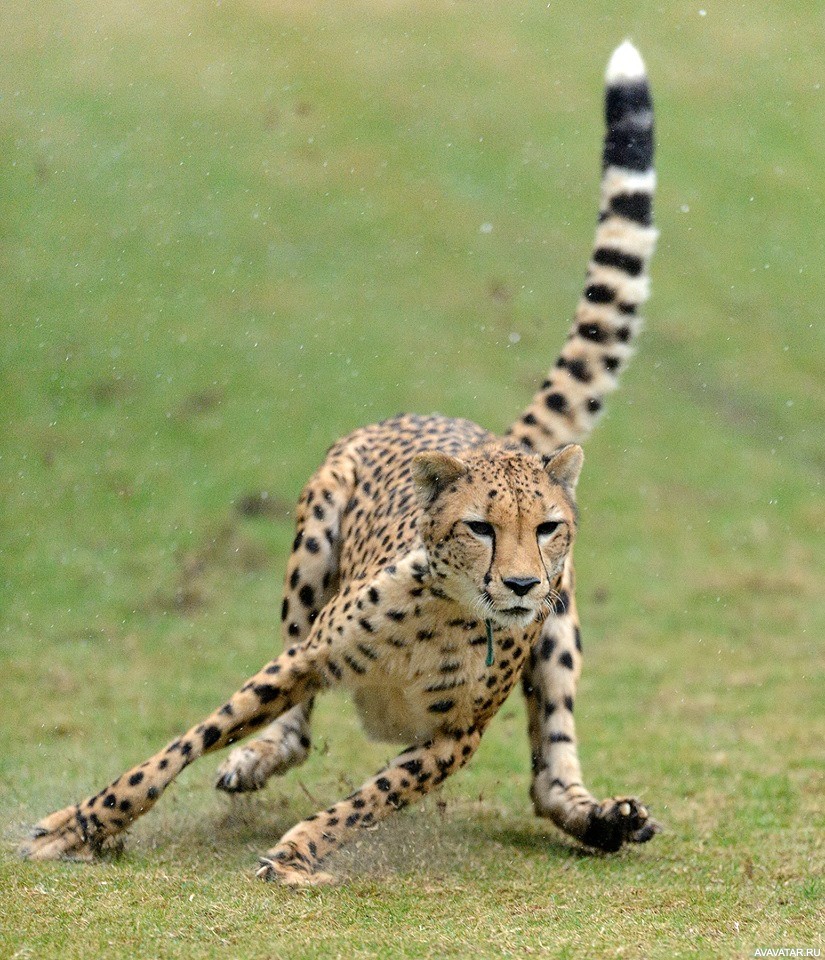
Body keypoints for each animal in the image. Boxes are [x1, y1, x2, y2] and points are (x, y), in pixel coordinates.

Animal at [22, 43, 660, 884]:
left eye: (547, 528)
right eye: (481, 528)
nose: (522, 584)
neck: (452, 616)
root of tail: (480, 433)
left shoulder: (452, 740)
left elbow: (373, 797)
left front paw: (300, 852)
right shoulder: (298, 662)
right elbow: (170, 755)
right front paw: (83, 824)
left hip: (558, 637)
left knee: (549, 774)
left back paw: (605, 819)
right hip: (313, 544)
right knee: (293, 730)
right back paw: (256, 757)